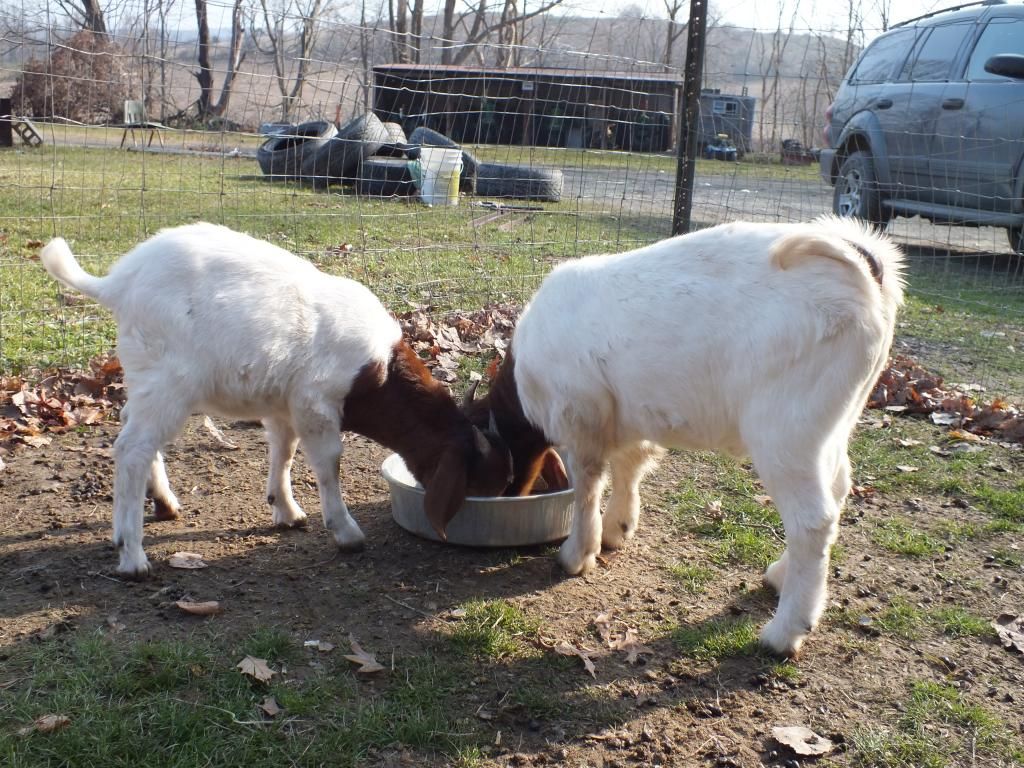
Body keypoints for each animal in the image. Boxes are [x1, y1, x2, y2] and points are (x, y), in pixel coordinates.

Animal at [40, 223, 512, 578]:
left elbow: (283, 452)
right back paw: (133, 555)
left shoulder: (285, 405)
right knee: (132, 448)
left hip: (146, 377)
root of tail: (118, 283)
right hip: (170, 380)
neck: (378, 370)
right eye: (479, 483)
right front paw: (345, 532)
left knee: (131, 426)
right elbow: (328, 463)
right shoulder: (316, 403)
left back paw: (162, 505)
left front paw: (285, 509)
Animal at [464, 216, 905, 657]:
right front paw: (617, 528)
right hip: (834, 423)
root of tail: (860, 262)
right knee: (838, 487)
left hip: (787, 430)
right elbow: (628, 466)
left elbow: (588, 484)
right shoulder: (625, 416)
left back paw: (785, 632)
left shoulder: (579, 414)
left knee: (813, 521)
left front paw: (576, 554)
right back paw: (780, 574)